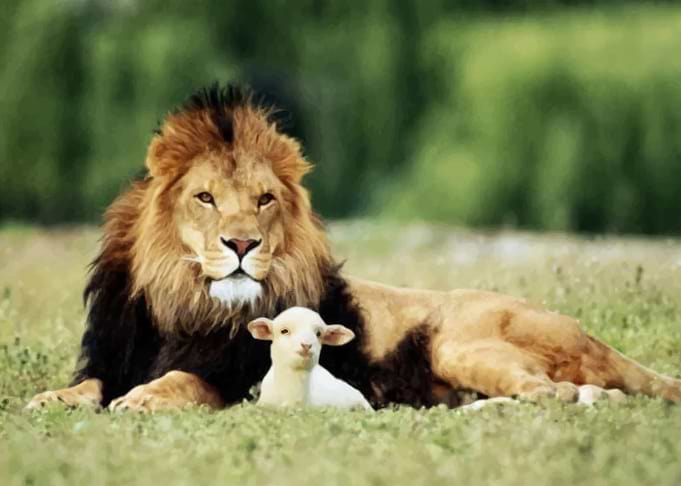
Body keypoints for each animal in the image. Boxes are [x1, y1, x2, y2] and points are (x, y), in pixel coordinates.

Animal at [27, 84, 681, 412]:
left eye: (264, 200)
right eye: (206, 198)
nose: (241, 243)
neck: (184, 301)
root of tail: (587, 333)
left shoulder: (238, 379)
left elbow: (185, 380)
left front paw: (143, 398)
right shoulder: (114, 356)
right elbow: (90, 386)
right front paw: (54, 397)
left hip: (459, 342)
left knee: (555, 393)